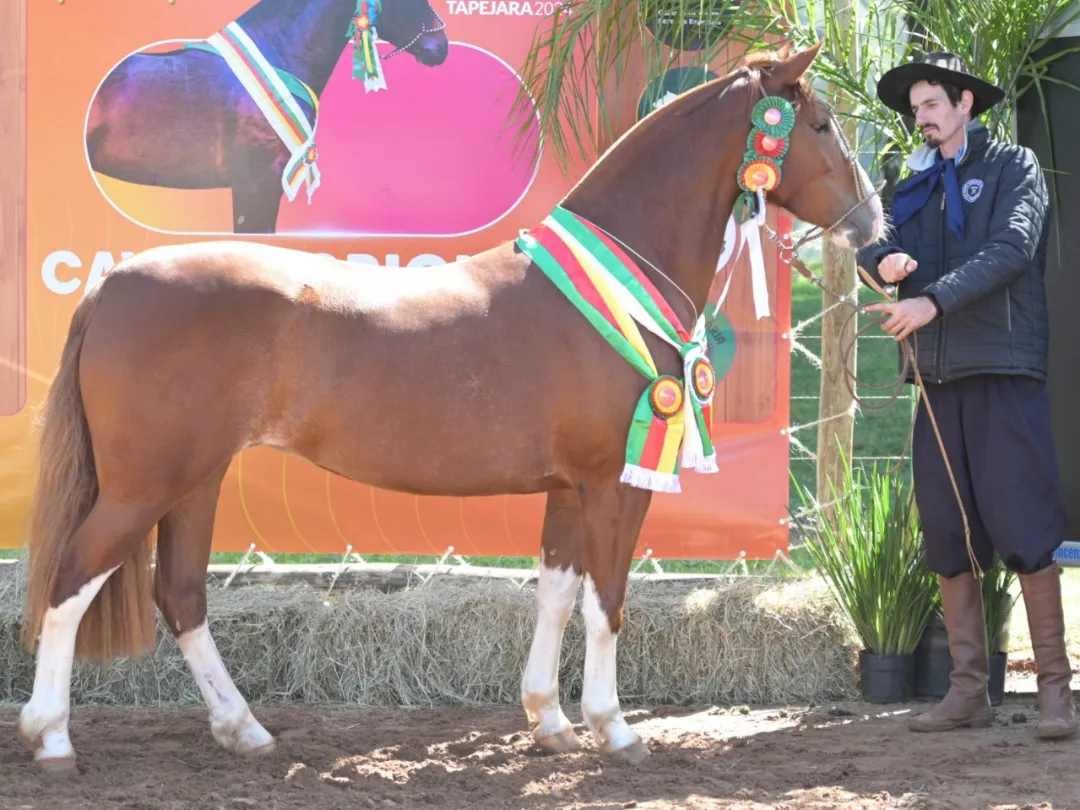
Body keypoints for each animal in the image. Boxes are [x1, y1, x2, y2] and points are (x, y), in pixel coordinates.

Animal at [19, 41, 883, 773]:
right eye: (820, 123)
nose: (873, 226)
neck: (614, 278)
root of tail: (115, 283)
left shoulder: (569, 490)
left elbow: (555, 595)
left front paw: (549, 721)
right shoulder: (615, 484)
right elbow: (607, 603)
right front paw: (614, 729)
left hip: (195, 481)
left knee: (182, 596)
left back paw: (244, 730)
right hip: (143, 486)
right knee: (70, 581)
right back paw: (53, 737)